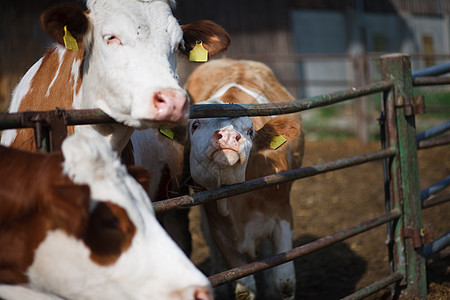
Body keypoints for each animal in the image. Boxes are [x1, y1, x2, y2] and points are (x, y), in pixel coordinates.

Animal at [185, 58, 304, 300]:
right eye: (195, 124)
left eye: (250, 131)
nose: (229, 135)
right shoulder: (219, 228)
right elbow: (244, 289)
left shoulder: (282, 213)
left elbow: (285, 282)